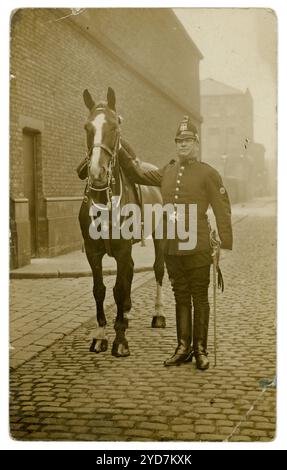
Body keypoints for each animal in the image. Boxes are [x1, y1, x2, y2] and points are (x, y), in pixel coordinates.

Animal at [79, 86, 166, 358]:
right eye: (87, 127)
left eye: (115, 126)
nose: (97, 173)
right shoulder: (93, 252)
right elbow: (100, 290)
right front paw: (101, 336)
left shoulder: (121, 249)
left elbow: (117, 288)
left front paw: (120, 341)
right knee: (129, 271)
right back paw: (126, 314)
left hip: (160, 235)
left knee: (158, 269)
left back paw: (158, 314)